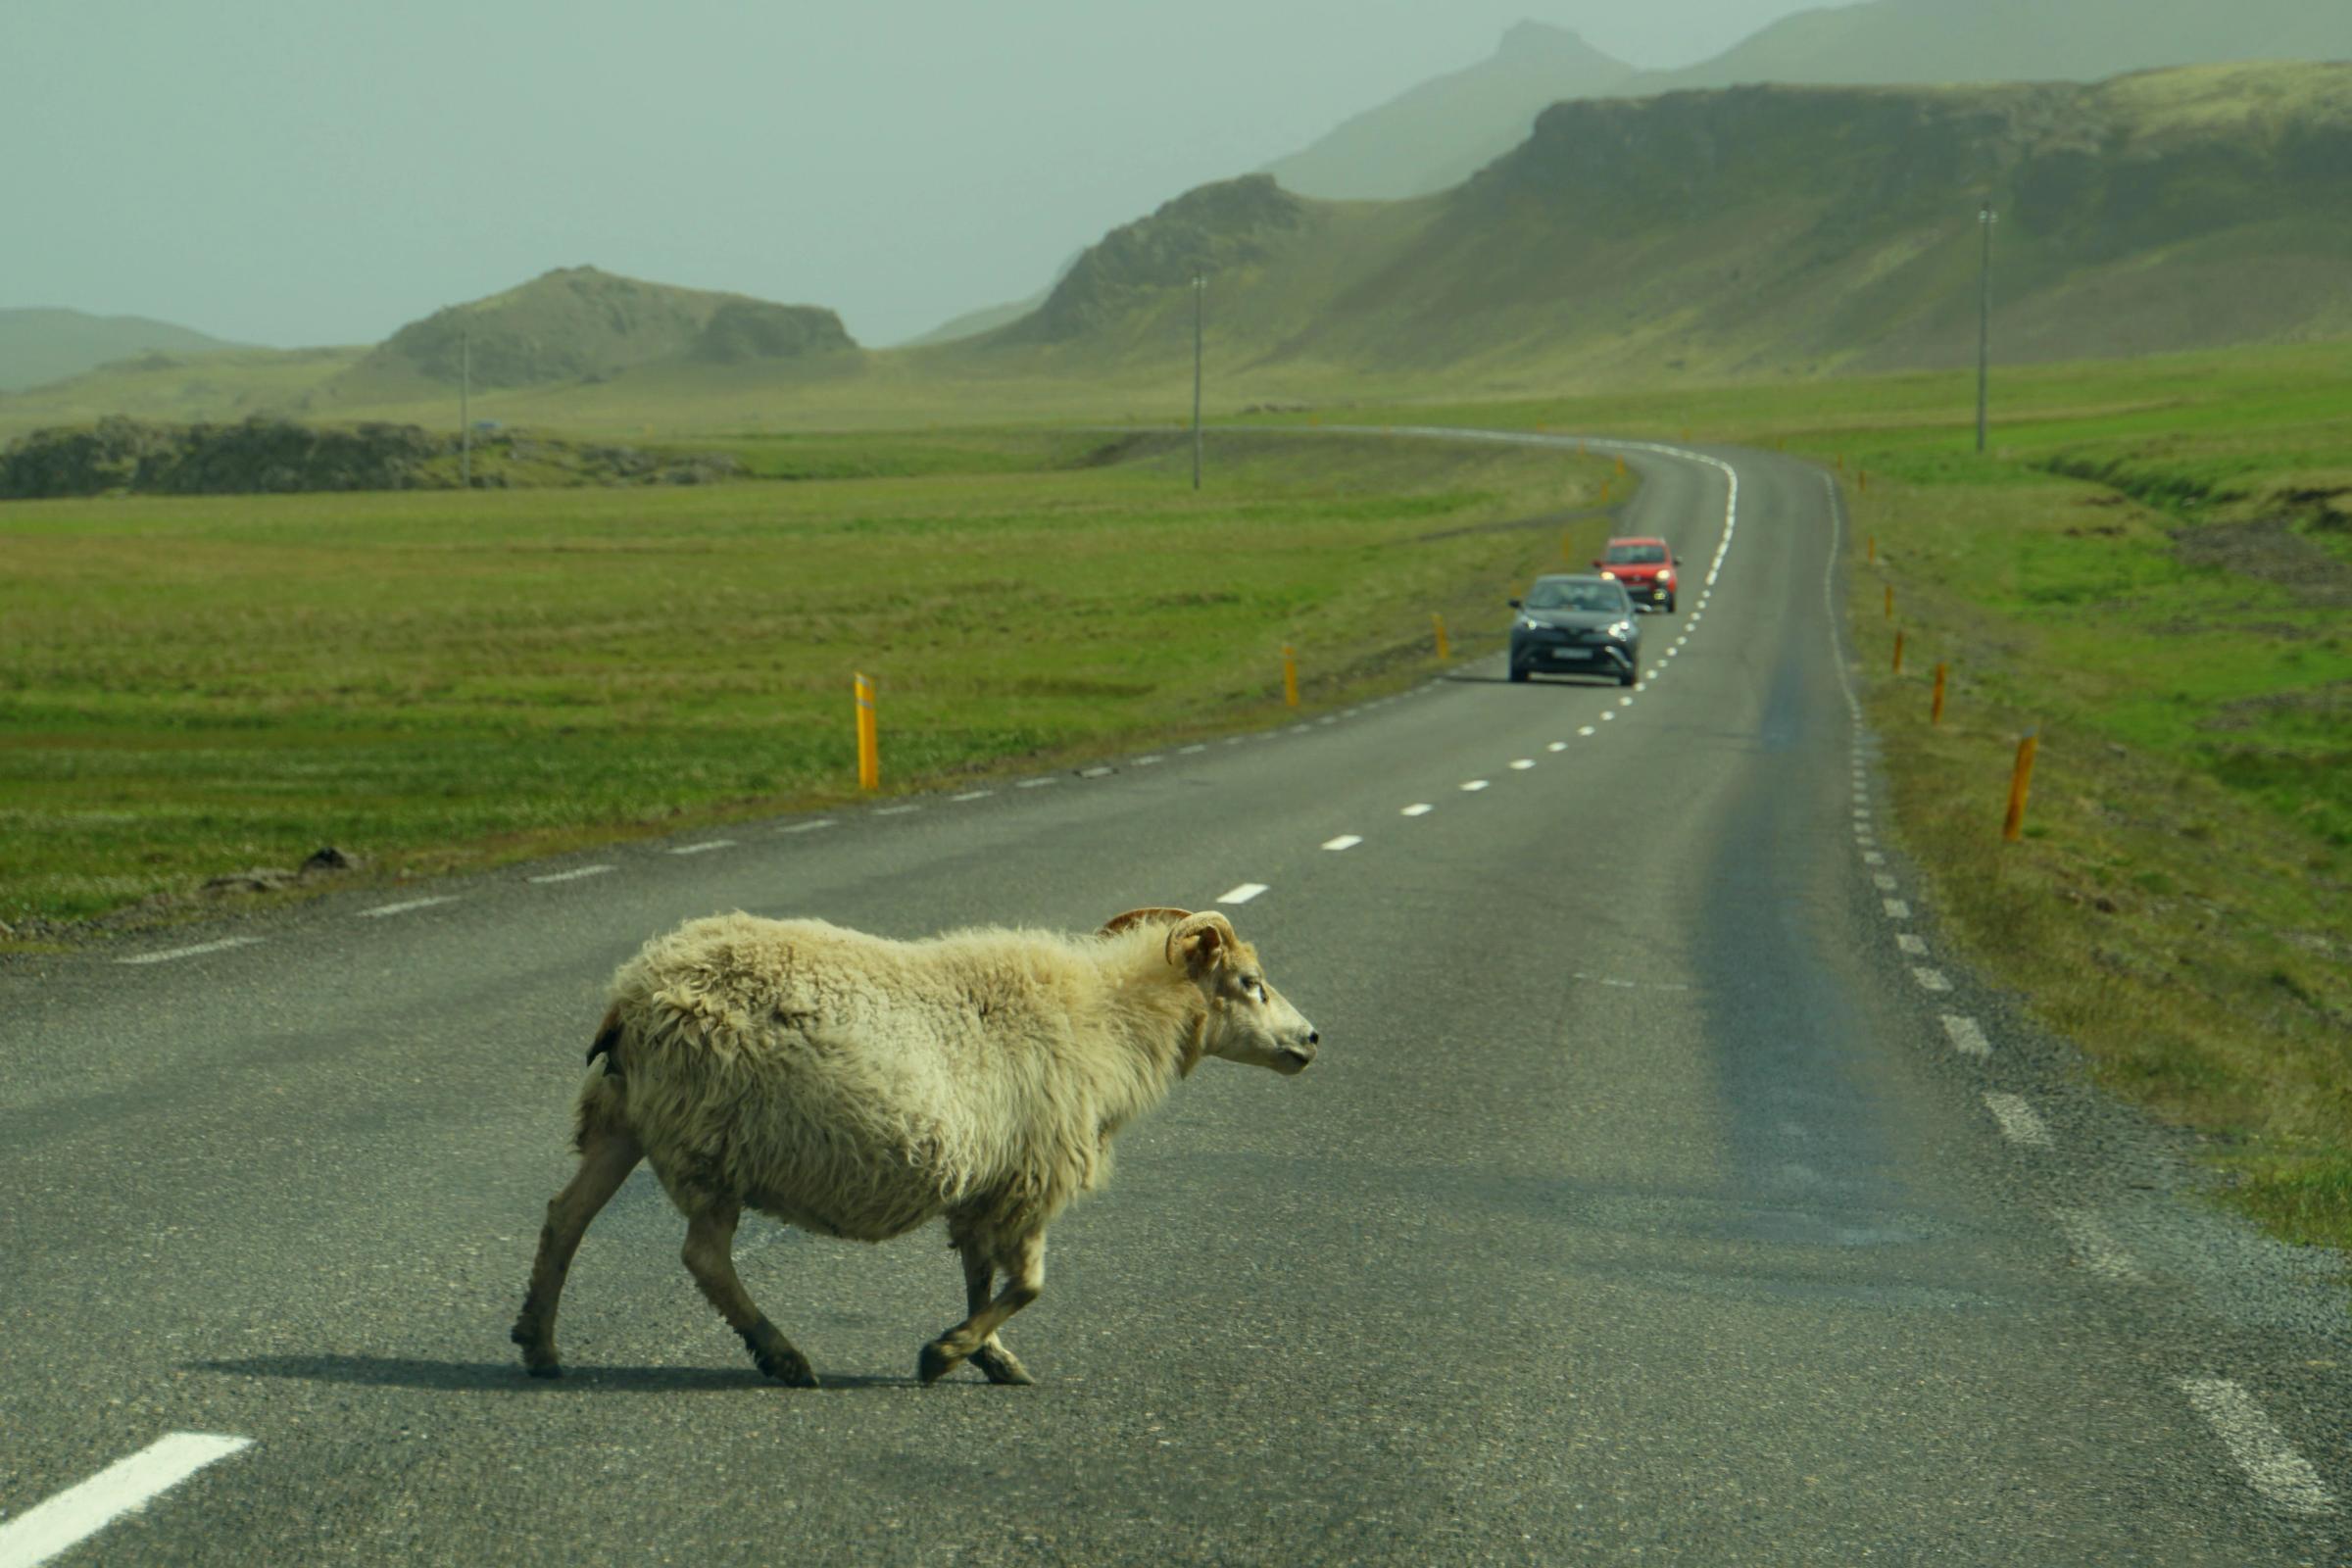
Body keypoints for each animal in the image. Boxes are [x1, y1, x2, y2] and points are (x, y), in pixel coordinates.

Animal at [510, 905, 1318, 1387]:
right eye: (1250, 982)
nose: (1312, 1039)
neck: (1112, 1023)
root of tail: (634, 992)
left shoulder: (991, 1181)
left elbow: (980, 1279)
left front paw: (990, 1356)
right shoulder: (1034, 1174)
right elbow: (1028, 1285)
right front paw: (944, 1354)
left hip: (624, 1121)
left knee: (564, 1216)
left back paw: (539, 1345)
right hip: (709, 1142)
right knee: (703, 1258)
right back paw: (782, 1354)